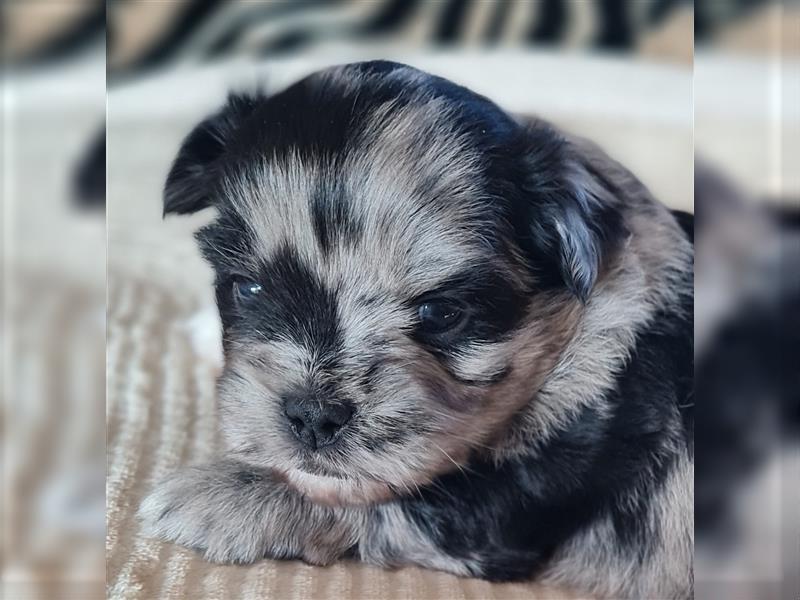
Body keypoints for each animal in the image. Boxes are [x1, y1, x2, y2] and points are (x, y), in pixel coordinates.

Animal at [142, 62, 692, 600]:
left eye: (441, 313)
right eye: (248, 288)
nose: (312, 417)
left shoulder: (513, 500)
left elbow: (384, 497)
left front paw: (217, 494)